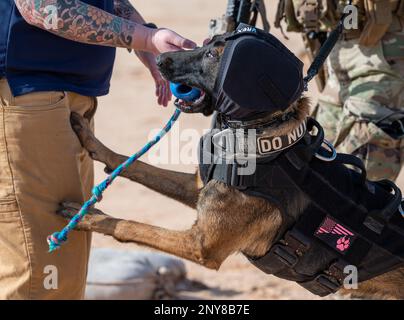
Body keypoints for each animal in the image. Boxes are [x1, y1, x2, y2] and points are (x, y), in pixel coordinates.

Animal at [60, 35, 404, 300]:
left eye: (213, 55)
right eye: (206, 45)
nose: (159, 57)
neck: (266, 145)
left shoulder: (199, 247)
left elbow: (130, 225)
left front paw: (86, 217)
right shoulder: (197, 188)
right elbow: (137, 165)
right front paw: (92, 142)